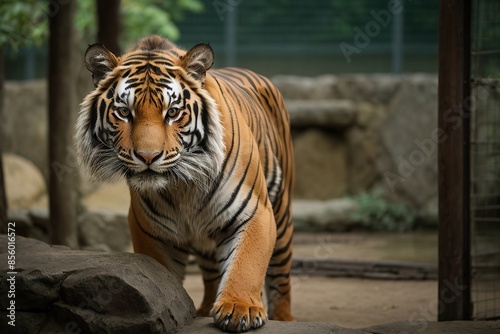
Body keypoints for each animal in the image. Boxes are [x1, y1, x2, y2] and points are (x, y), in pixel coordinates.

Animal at [76, 35, 294, 332]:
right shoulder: (150, 229)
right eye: (123, 112)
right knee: (212, 272)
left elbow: (246, 263)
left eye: (173, 112)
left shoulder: (254, 211)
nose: (147, 156)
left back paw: (284, 318)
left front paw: (240, 308)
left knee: (281, 280)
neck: (184, 186)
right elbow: (161, 273)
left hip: (281, 214)